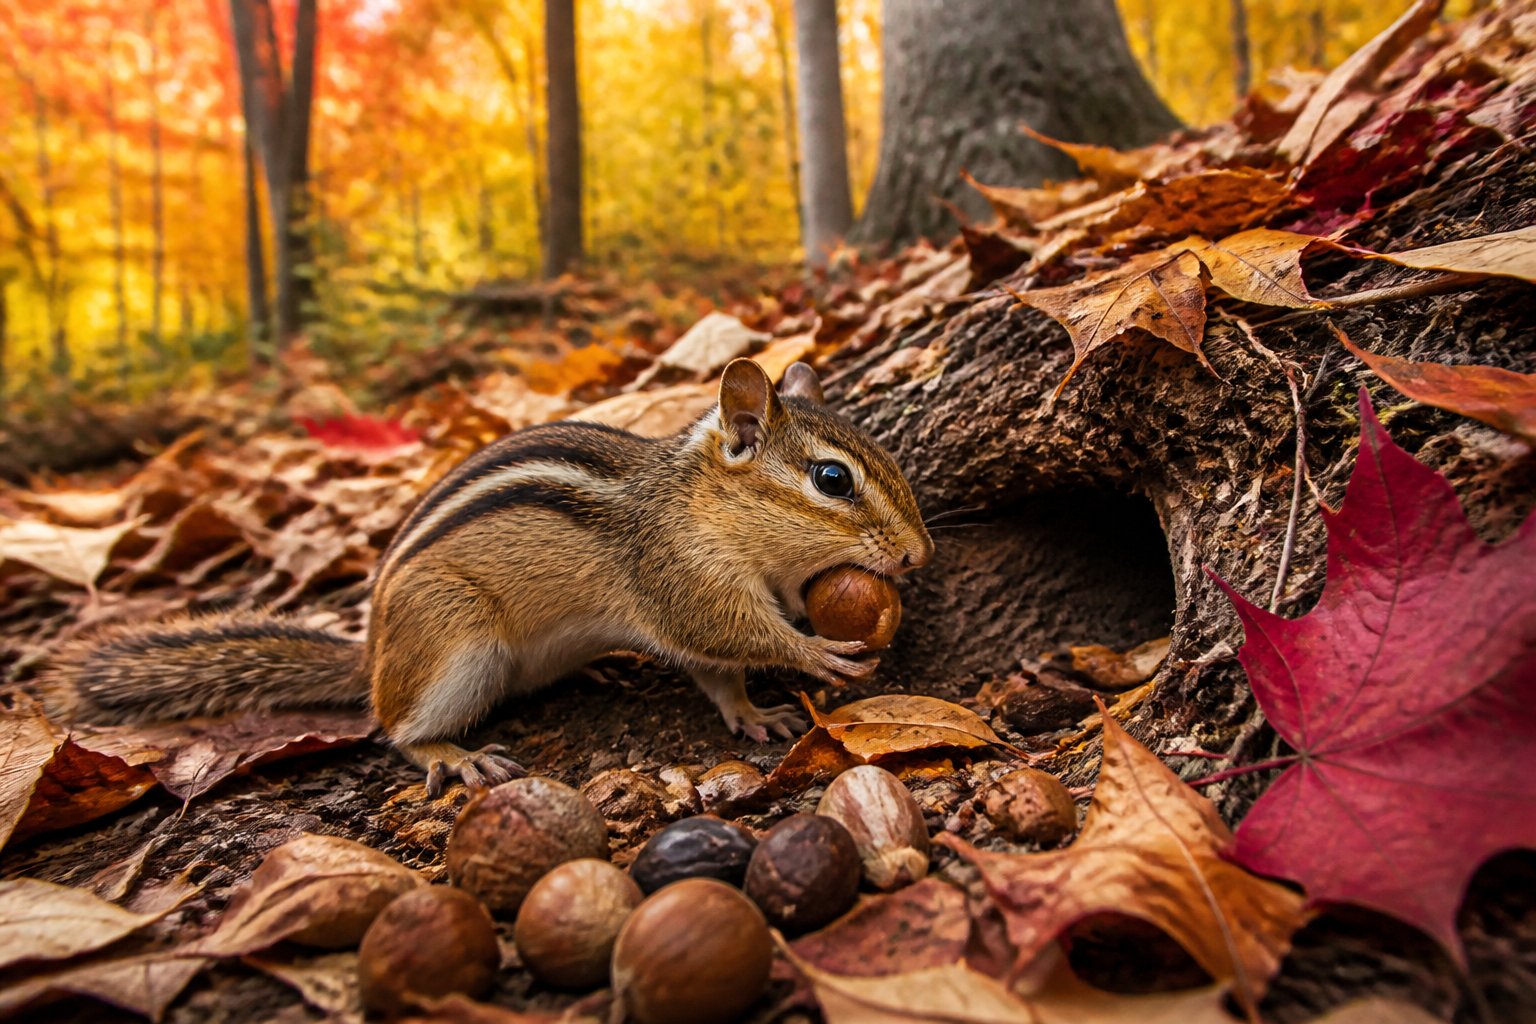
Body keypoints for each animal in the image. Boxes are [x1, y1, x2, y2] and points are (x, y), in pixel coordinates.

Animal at [40, 359, 934, 796]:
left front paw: (754, 715)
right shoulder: (683, 581)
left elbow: (718, 678)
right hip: (453, 643)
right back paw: (455, 757)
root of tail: (371, 652)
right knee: (395, 729)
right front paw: (817, 654)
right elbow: (732, 636)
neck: (703, 505)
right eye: (831, 479)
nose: (919, 557)